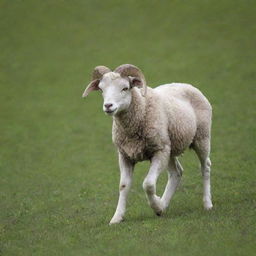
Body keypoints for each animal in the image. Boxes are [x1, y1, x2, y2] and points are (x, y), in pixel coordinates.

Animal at [82, 64, 212, 224]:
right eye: (101, 89)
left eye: (125, 88)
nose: (108, 106)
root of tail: (185, 84)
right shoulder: (125, 155)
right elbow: (123, 186)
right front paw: (117, 217)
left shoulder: (158, 152)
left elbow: (148, 184)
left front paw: (156, 206)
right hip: (169, 147)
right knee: (176, 173)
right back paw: (164, 204)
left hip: (201, 137)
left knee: (205, 167)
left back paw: (207, 204)